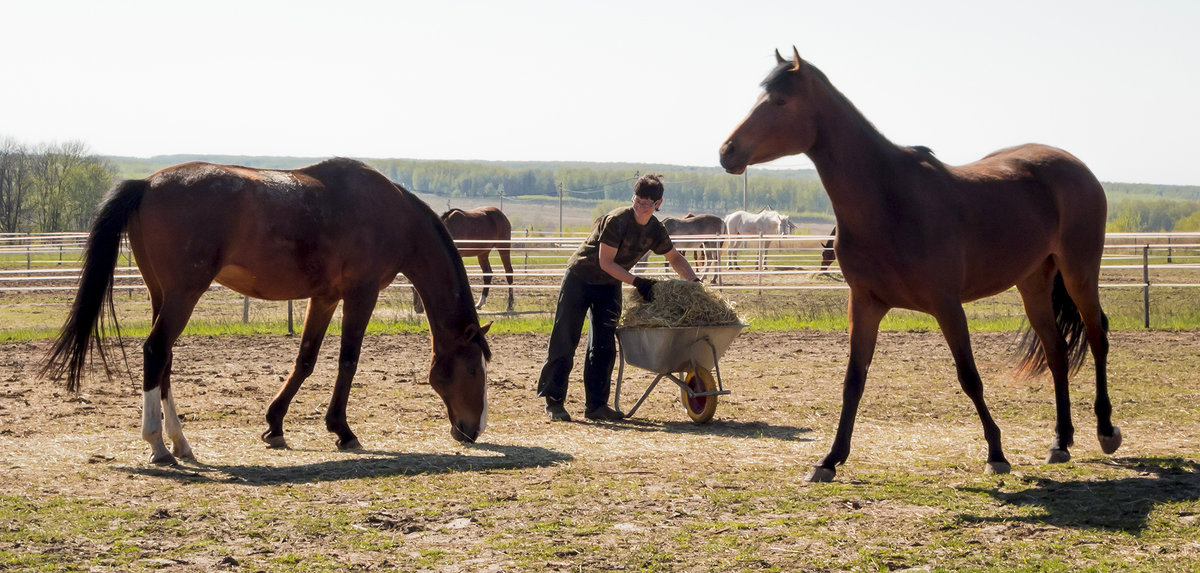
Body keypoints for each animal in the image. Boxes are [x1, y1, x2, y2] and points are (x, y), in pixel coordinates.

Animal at [41, 158, 492, 465]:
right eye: (473, 369)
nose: (474, 429)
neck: (390, 214)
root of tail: (147, 183)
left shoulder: (324, 297)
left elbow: (306, 359)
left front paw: (275, 424)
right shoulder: (360, 295)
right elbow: (348, 361)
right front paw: (343, 431)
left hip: (161, 294)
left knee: (164, 358)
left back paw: (179, 442)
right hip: (183, 294)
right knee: (155, 351)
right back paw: (157, 444)